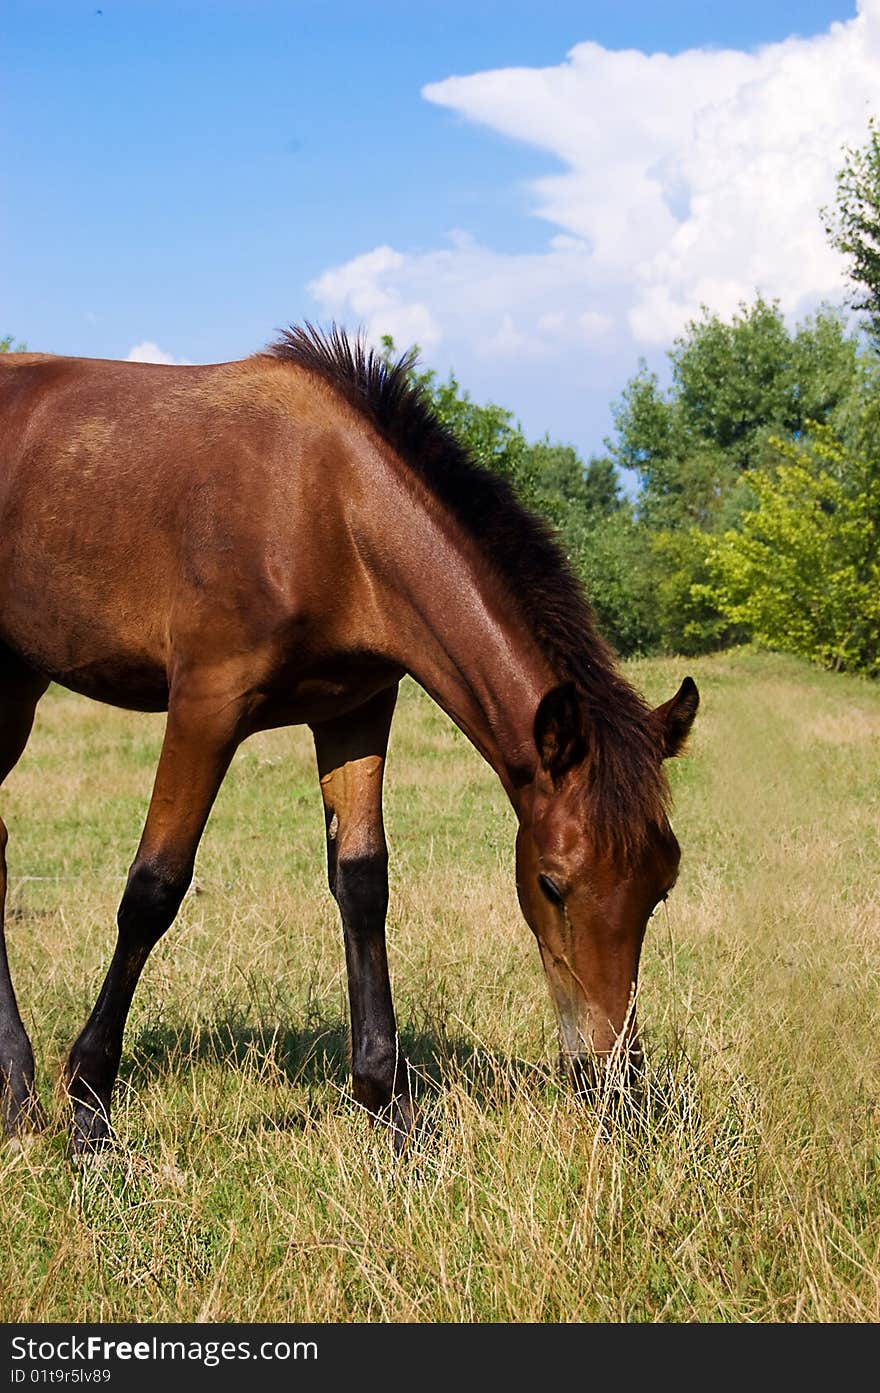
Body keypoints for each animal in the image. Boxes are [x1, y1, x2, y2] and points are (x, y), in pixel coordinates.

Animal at [1, 328, 701, 1153]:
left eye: (661, 886)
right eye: (552, 883)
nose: (617, 1085)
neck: (329, 508)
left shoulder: (357, 709)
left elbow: (363, 883)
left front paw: (391, 1107)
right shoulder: (206, 702)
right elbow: (154, 888)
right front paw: (90, 1111)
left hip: (17, 679)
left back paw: (14, 1091)